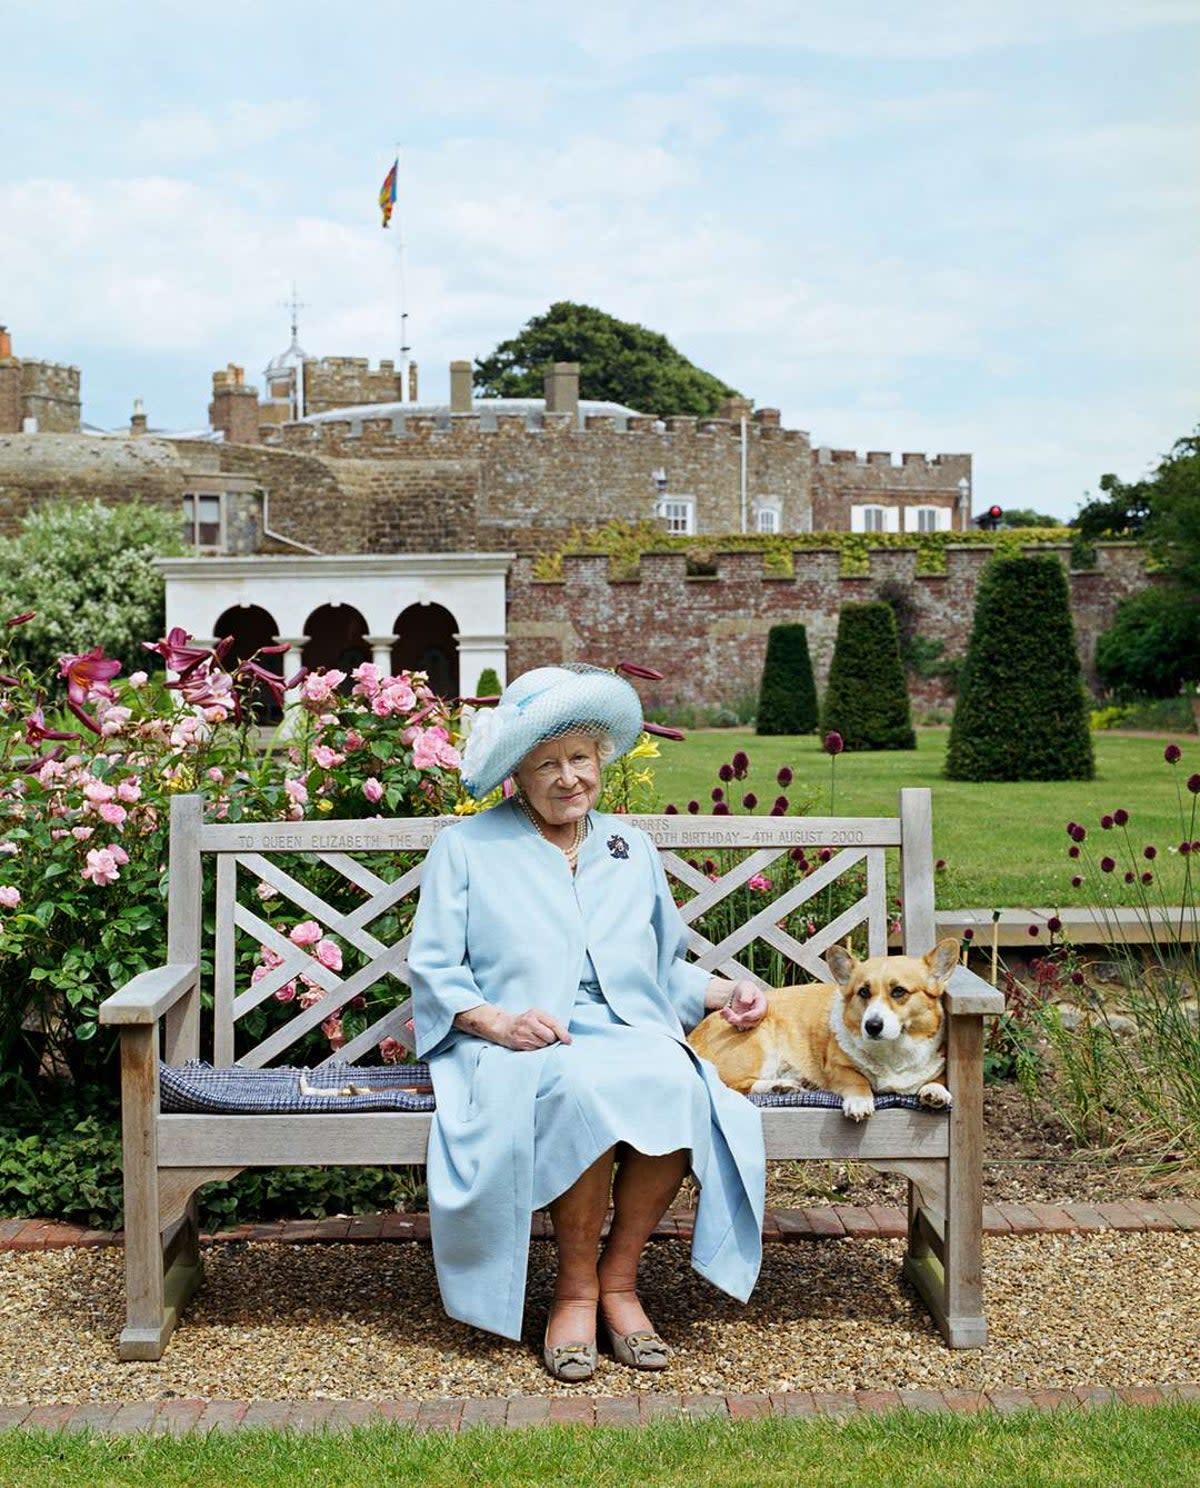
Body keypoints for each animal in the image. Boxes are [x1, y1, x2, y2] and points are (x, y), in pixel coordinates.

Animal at [690, 934, 964, 1118]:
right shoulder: (838, 1067)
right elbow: (857, 1080)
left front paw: (936, 1092)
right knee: (736, 1086)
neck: (892, 1051)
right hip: (758, 1043)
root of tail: (691, 1037)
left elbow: (938, 1077)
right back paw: (780, 1087)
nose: (872, 1026)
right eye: (863, 992)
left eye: (899, 992)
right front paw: (860, 1102)